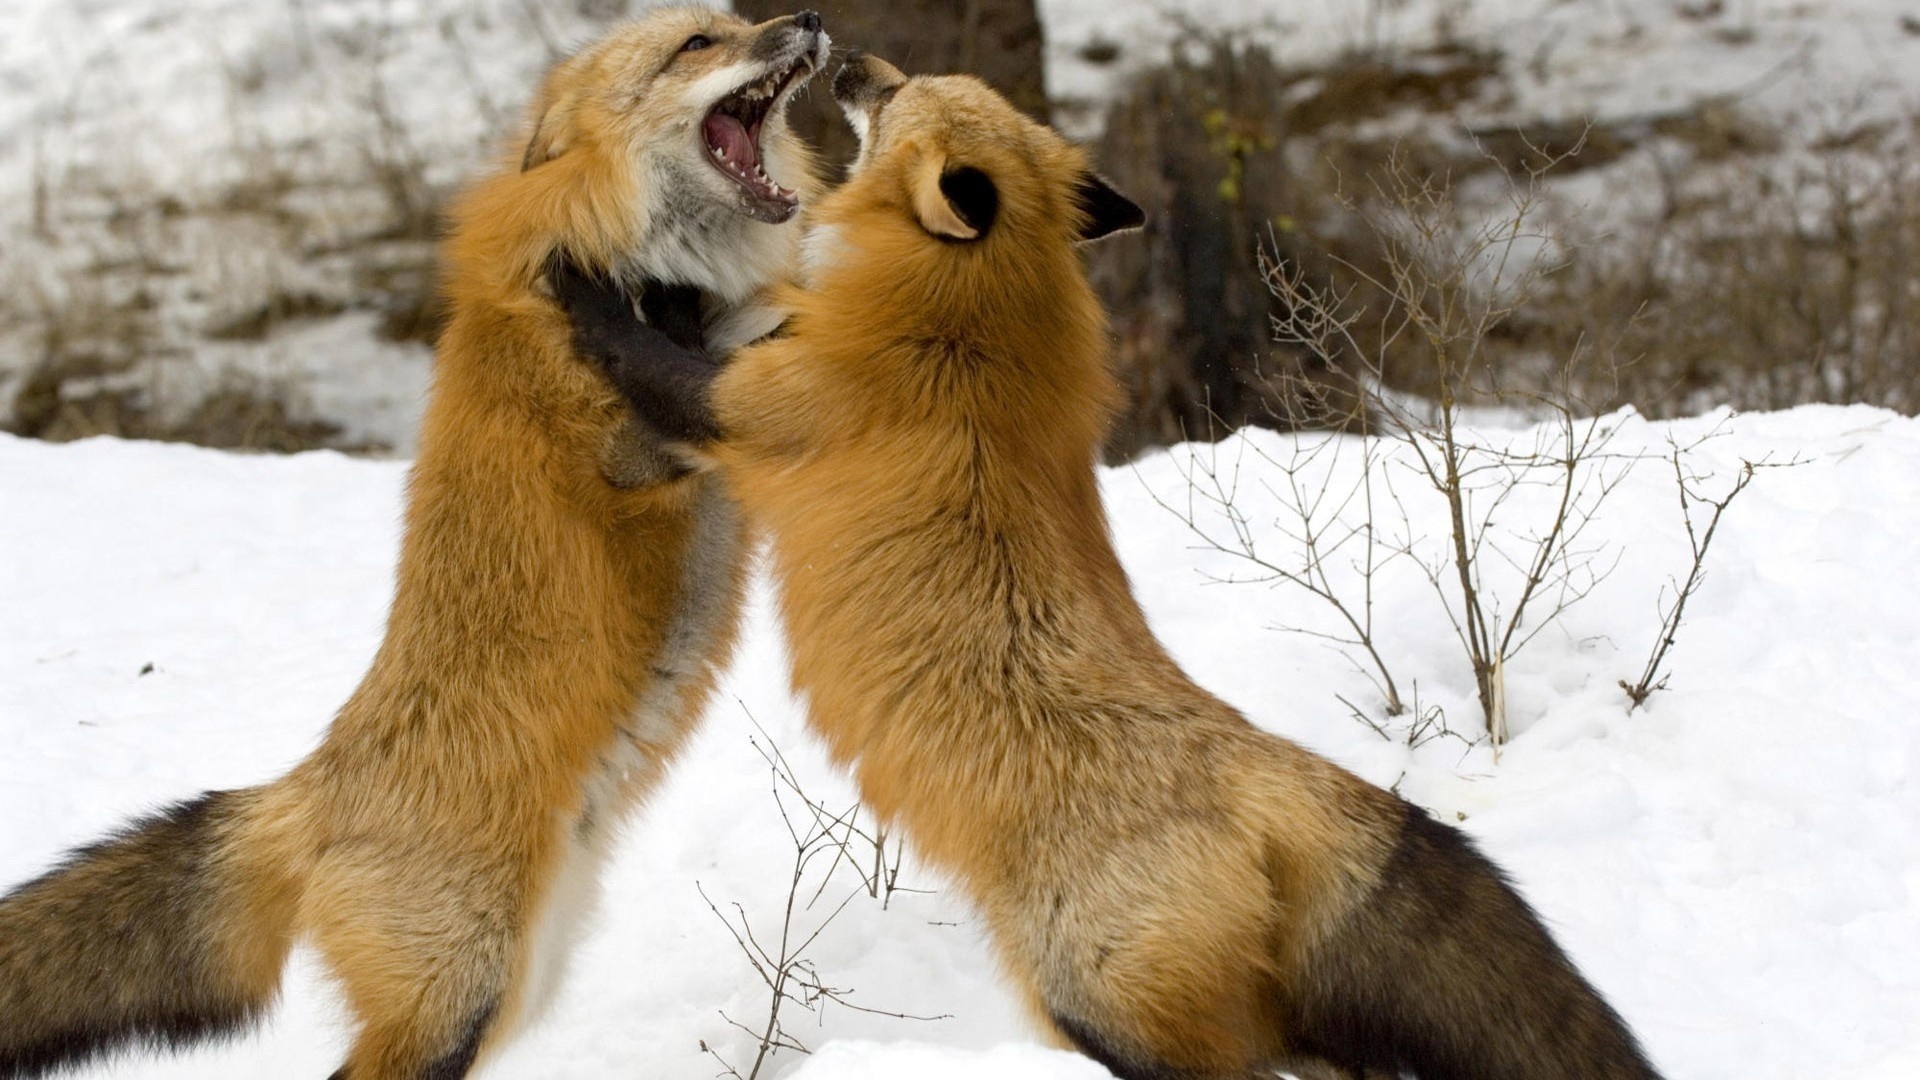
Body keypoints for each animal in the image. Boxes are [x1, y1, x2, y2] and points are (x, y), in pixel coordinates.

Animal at [552, 54, 1666, 1076]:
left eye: (899, 93)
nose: (852, 60)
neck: (971, 322)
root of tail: (1272, 770)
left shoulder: (755, 406)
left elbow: (642, 352)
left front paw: (587, 281)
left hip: (1095, 1002)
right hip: (1280, 1031)